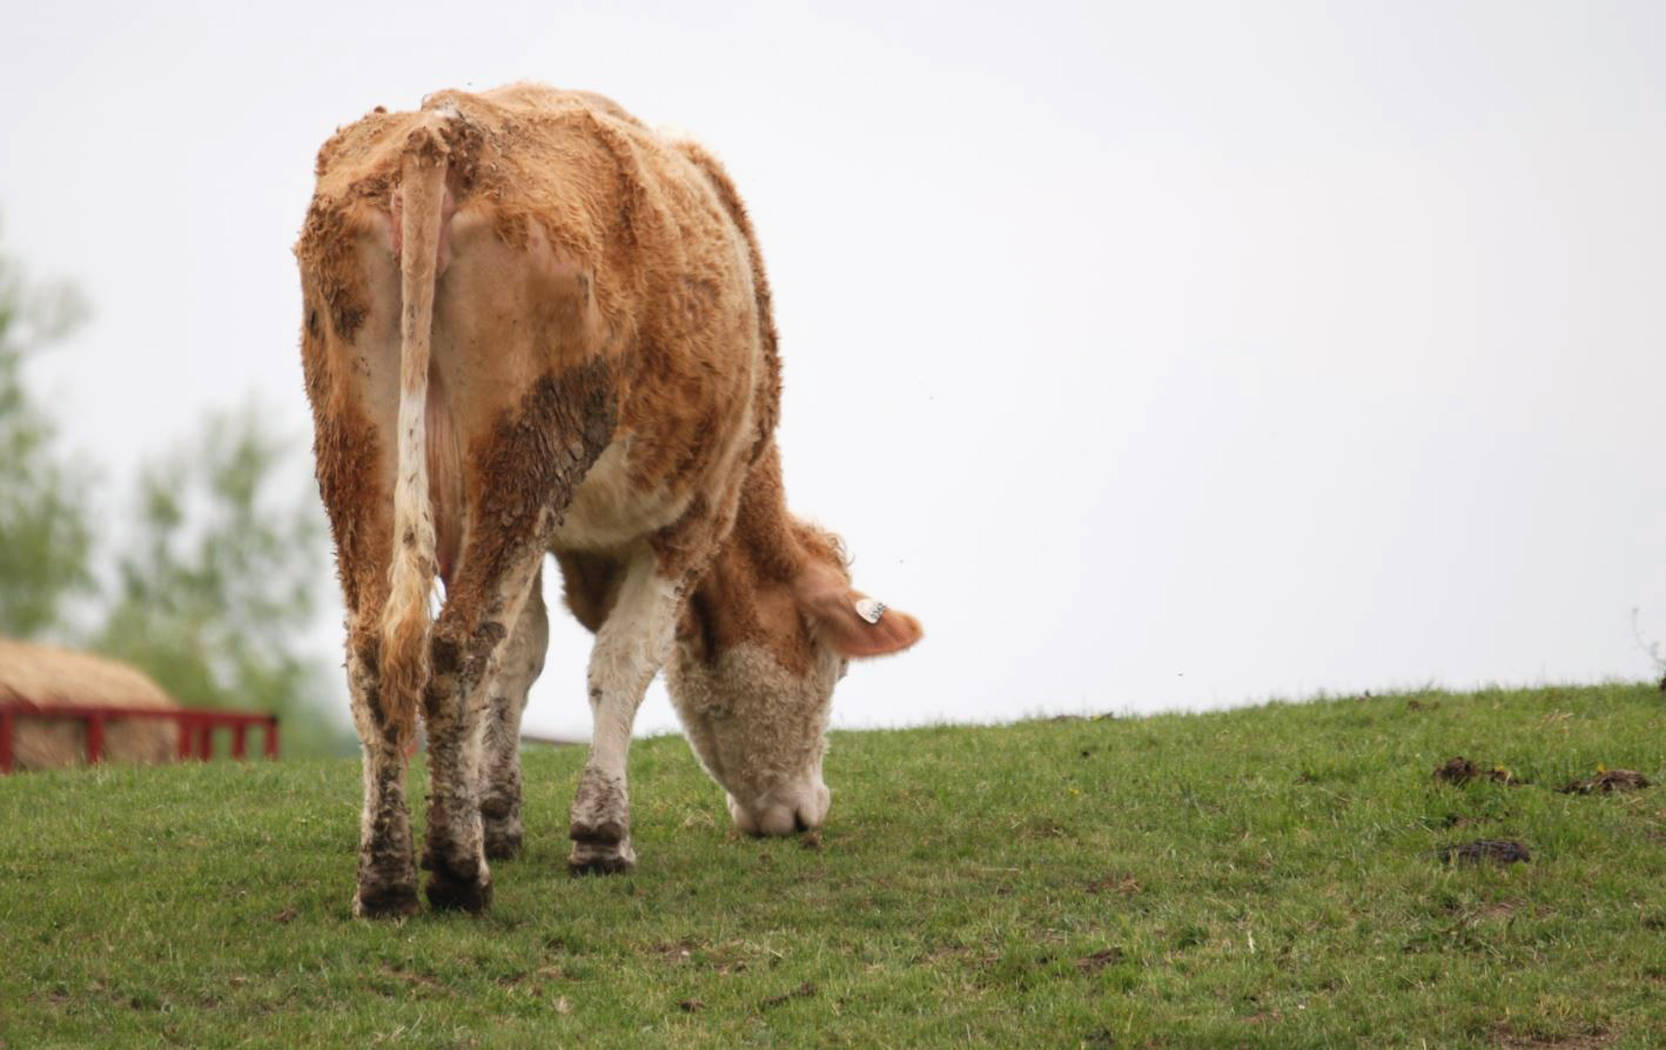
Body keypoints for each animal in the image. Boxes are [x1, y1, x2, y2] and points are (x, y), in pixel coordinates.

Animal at [296, 86, 926, 920]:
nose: (804, 812)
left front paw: (498, 815)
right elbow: (622, 662)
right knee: (456, 648)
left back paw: (389, 877)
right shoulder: (697, 513)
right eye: (833, 667)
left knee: (380, 651)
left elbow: (522, 654)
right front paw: (598, 836)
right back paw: (459, 873)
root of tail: (441, 133)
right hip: (524, 455)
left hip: (362, 450)